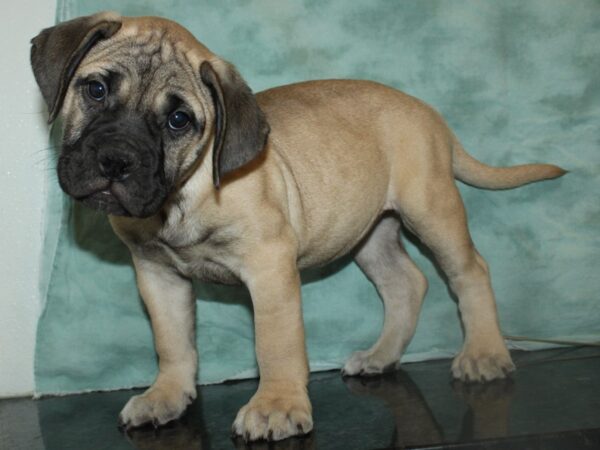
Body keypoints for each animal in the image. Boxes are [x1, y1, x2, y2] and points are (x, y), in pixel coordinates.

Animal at [30, 12, 564, 442]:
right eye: (96, 89)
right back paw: (381, 356)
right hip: (368, 230)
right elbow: (172, 340)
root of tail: (431, 115)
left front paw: (276, 407)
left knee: (470, 272)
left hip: (432, 210)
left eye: (179, 120)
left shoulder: (269, 269)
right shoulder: (157, 274)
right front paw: (167, 395)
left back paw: (484, 354)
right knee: (406, 283)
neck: (183, 196)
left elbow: (276, 344)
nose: (116, 160)